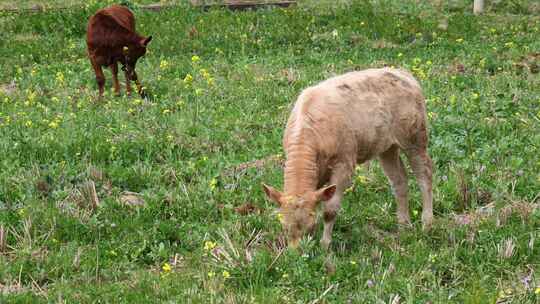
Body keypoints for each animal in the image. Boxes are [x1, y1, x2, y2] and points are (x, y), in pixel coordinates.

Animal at [262, 69, 434, 249]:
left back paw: (427, 224)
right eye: (284, 226)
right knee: (399, 180)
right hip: (388, 148)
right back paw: (403, 226)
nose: (295, 252)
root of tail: (402, 73)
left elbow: (330, 210)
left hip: (415, 138)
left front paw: (325, 245)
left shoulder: (344, 164)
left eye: (311, 226)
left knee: (425, 174)